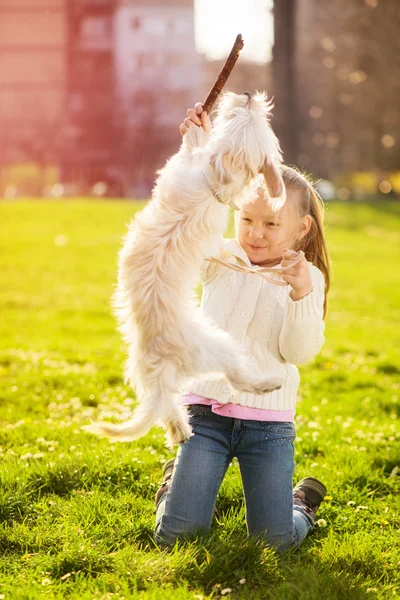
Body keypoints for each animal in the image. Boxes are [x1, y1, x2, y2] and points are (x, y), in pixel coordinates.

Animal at [86, 92, 288, 446]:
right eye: (245, 113)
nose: (248, 94)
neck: (213, 181)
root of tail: (164, 359)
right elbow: (193, 147)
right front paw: (197, 121)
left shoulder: (183, 166)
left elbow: (190, 148)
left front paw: (196, 129)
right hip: (165, 369)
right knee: (171, 401)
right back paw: (182, 429)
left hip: (214, 349)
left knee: (230, 381)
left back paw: (260, 387)